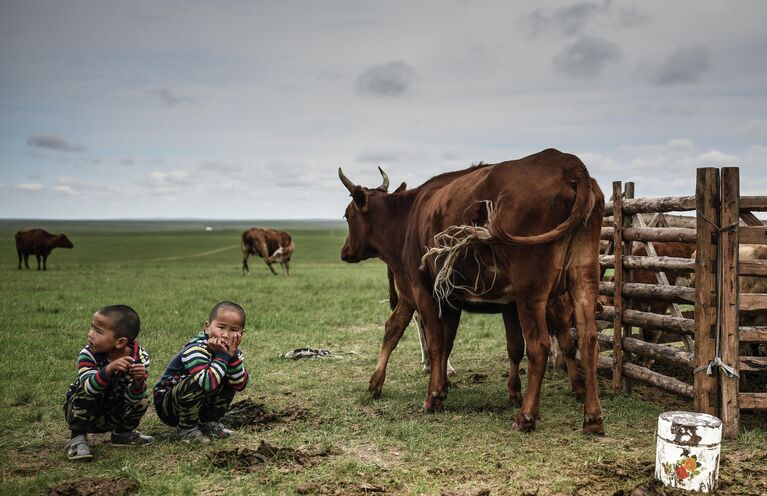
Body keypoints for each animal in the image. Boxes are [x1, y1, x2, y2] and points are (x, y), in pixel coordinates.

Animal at [340, 148, 608, 434]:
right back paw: (592, 417)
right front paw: (441, 386)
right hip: (583, 281)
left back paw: (526, 416)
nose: (344, 252)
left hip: (531, 291)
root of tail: (568, 164)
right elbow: (447, 341)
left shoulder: (422, 292)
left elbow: (428, 340)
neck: (409, 216)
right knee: (588, 341)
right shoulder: (452, 300)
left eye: (347, 216)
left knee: (540, 346)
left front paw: (431, 396)